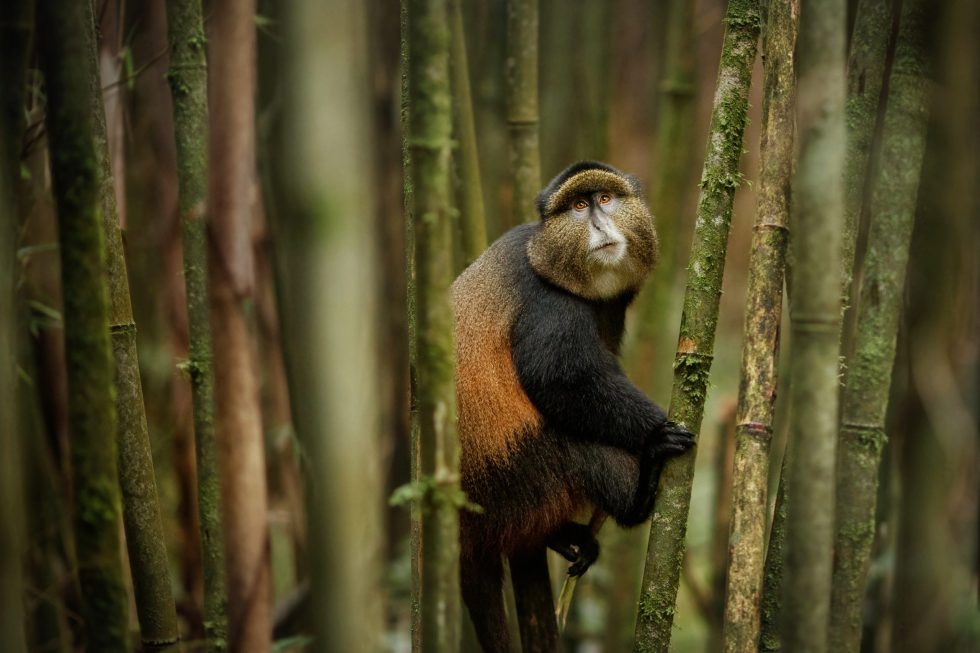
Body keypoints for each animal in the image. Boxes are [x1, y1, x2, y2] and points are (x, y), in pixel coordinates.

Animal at [452, 160, 695, 652]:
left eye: (605, 200)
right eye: (579, 207)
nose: (599, 224)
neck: (543, 253)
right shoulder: (550, 306)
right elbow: (559, 381)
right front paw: (656, 432)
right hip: (513, 472)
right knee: (577, 447)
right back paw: (639, 494)